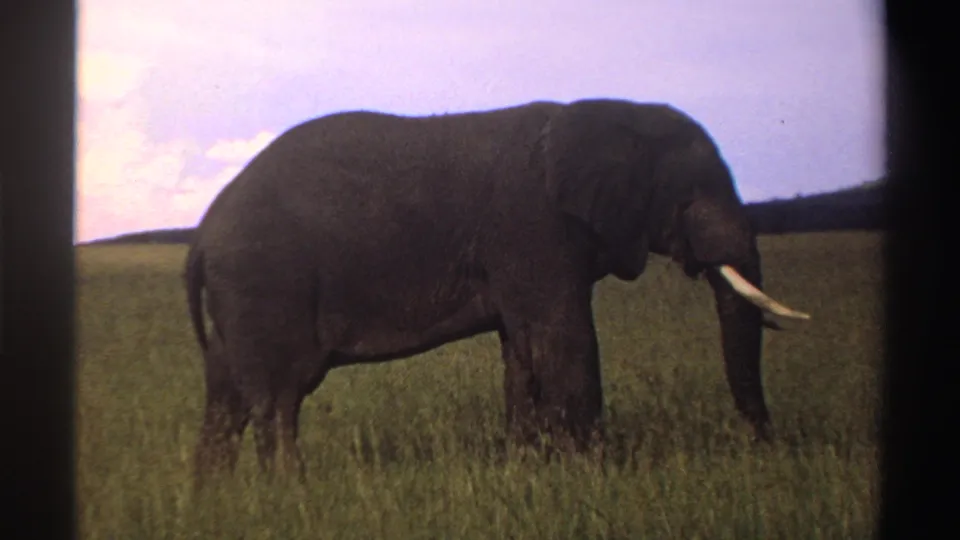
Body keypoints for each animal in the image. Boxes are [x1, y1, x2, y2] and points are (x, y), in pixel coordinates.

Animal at [184, 98, 810, 485]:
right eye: (694, 194)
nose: (770, 448)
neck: (606, 114)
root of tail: (202, 233)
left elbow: (524, 352)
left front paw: (532, 469)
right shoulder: (534, 227)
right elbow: (567, 341)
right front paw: (595, 476)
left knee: (226, 394)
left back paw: (218, 501)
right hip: (264, 283)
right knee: (278, 399)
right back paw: (290, 496)